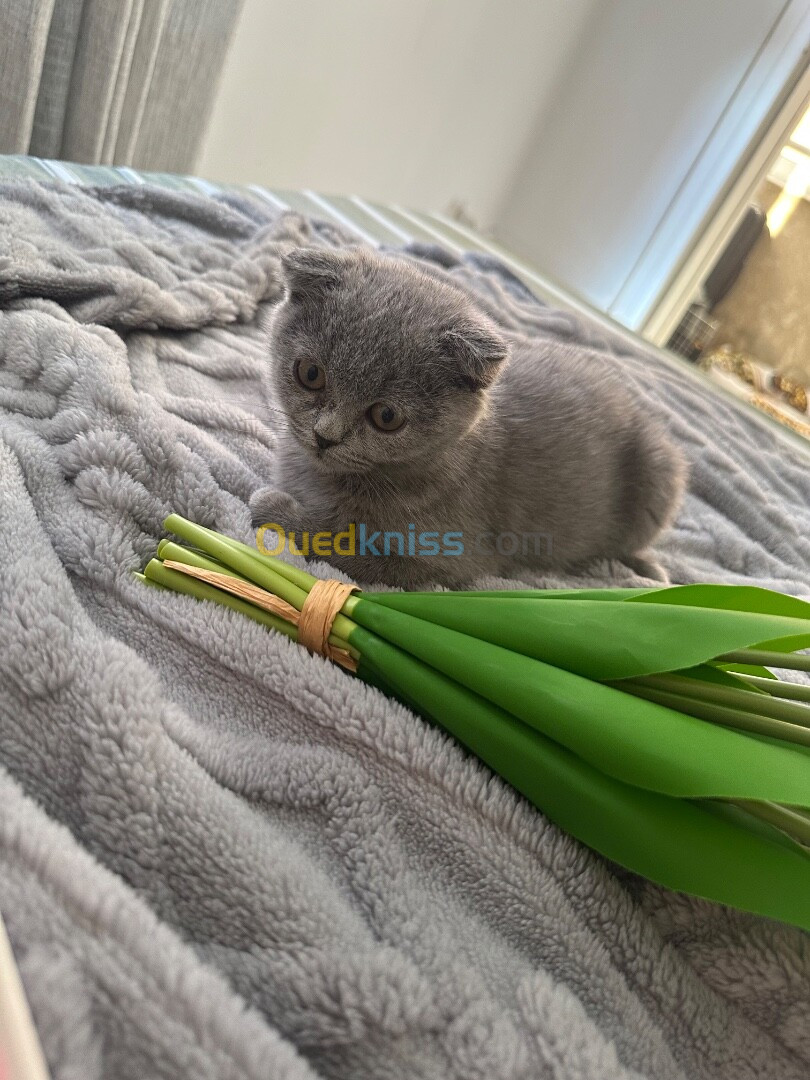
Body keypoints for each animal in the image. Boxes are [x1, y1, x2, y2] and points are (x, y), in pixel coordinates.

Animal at [250, 247, 686, 587]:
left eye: (387, 416)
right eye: (310, 374)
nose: (326, 436)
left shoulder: (449, 559)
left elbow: (348, 548)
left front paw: (274, 510)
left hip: (662, 474)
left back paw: (649, 570)